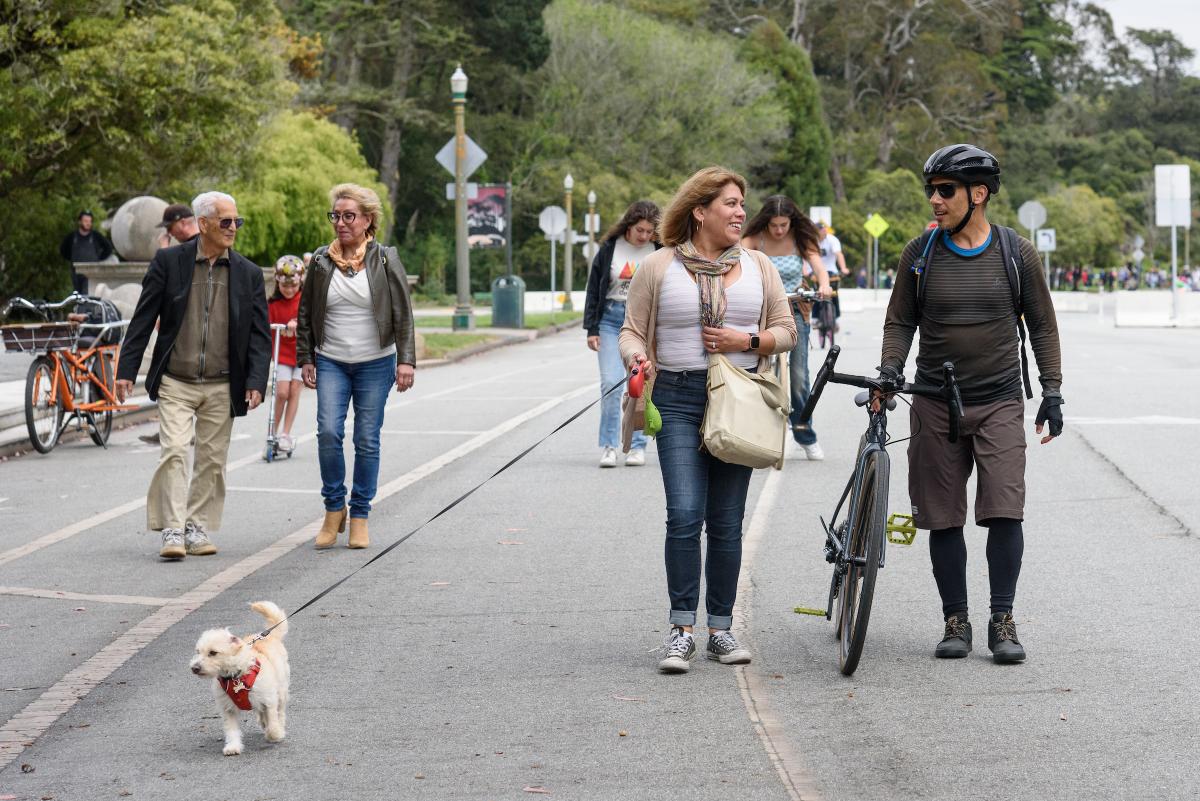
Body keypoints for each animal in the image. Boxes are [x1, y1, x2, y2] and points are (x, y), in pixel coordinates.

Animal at [193, 599, 294, 757]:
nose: (194, 668)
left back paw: (278, 727)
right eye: (198, 651)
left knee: (280, 712)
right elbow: (231, 730)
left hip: (282, 691)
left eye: (213, 653)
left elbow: (273, 721)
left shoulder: (269, 699)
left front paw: (275, 734)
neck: (236, 676)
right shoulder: (227, 708)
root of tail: (270, 636)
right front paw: (233, 746)